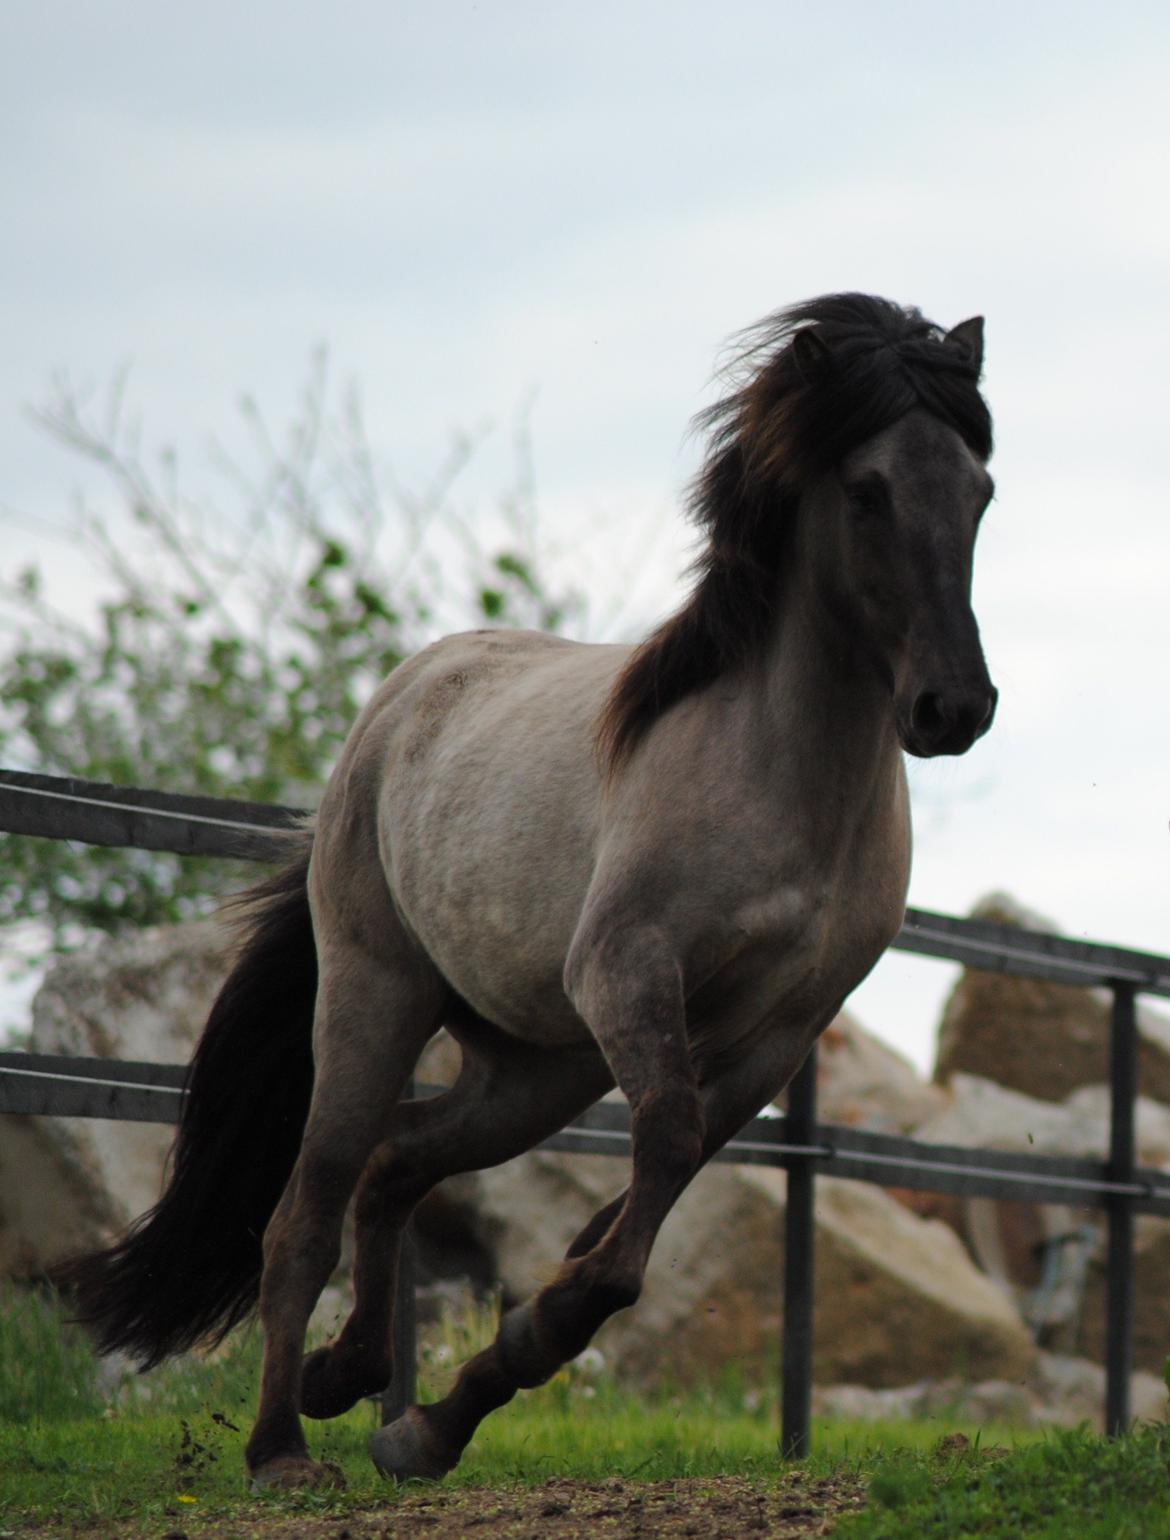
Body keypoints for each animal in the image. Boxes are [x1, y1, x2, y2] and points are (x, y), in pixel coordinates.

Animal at [54, 291, 1003, 1490]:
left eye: (978, 490)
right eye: (868, 490)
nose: (953, 708)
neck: (781, 779)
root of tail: (396, 704)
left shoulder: (775, 1035)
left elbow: (639, 1199)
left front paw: (437, 1418)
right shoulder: (631, 973)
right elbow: (654, 1172)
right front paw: (497, 1365)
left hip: (536, 1069)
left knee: (397, 1164)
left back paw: (355, 1383)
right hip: (377, 997)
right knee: (308, 1208)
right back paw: (282, 1448)